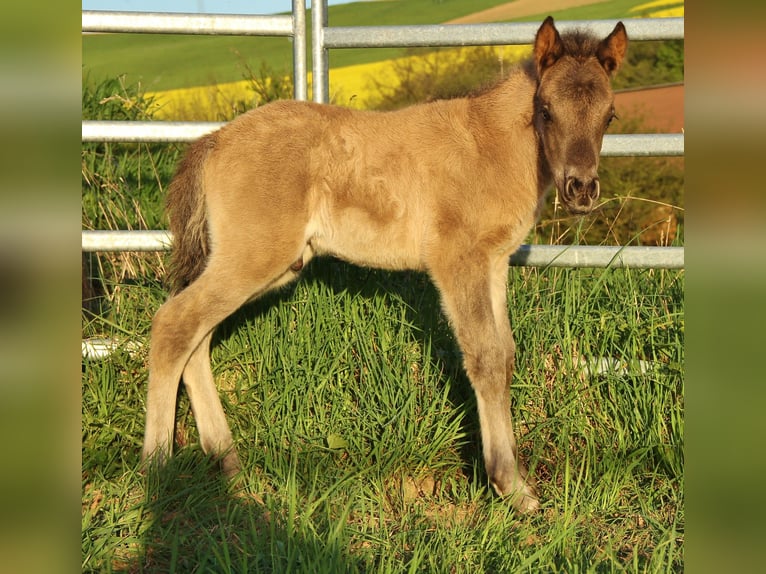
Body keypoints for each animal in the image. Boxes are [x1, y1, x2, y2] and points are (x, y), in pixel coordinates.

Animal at [142, 16, 627, 513]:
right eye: (546, 110)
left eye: (609, 115)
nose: (581, 189)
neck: (487, 147)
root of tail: (215, 139)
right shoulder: (457, 260)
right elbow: (485, 359)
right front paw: (510, 487)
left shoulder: (493, 264)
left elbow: (506, 355)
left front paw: (517, 474)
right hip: (254, 257)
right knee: (174, 324)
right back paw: (155, 470)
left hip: (268, 265)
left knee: (197, 337)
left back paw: (230, 468)